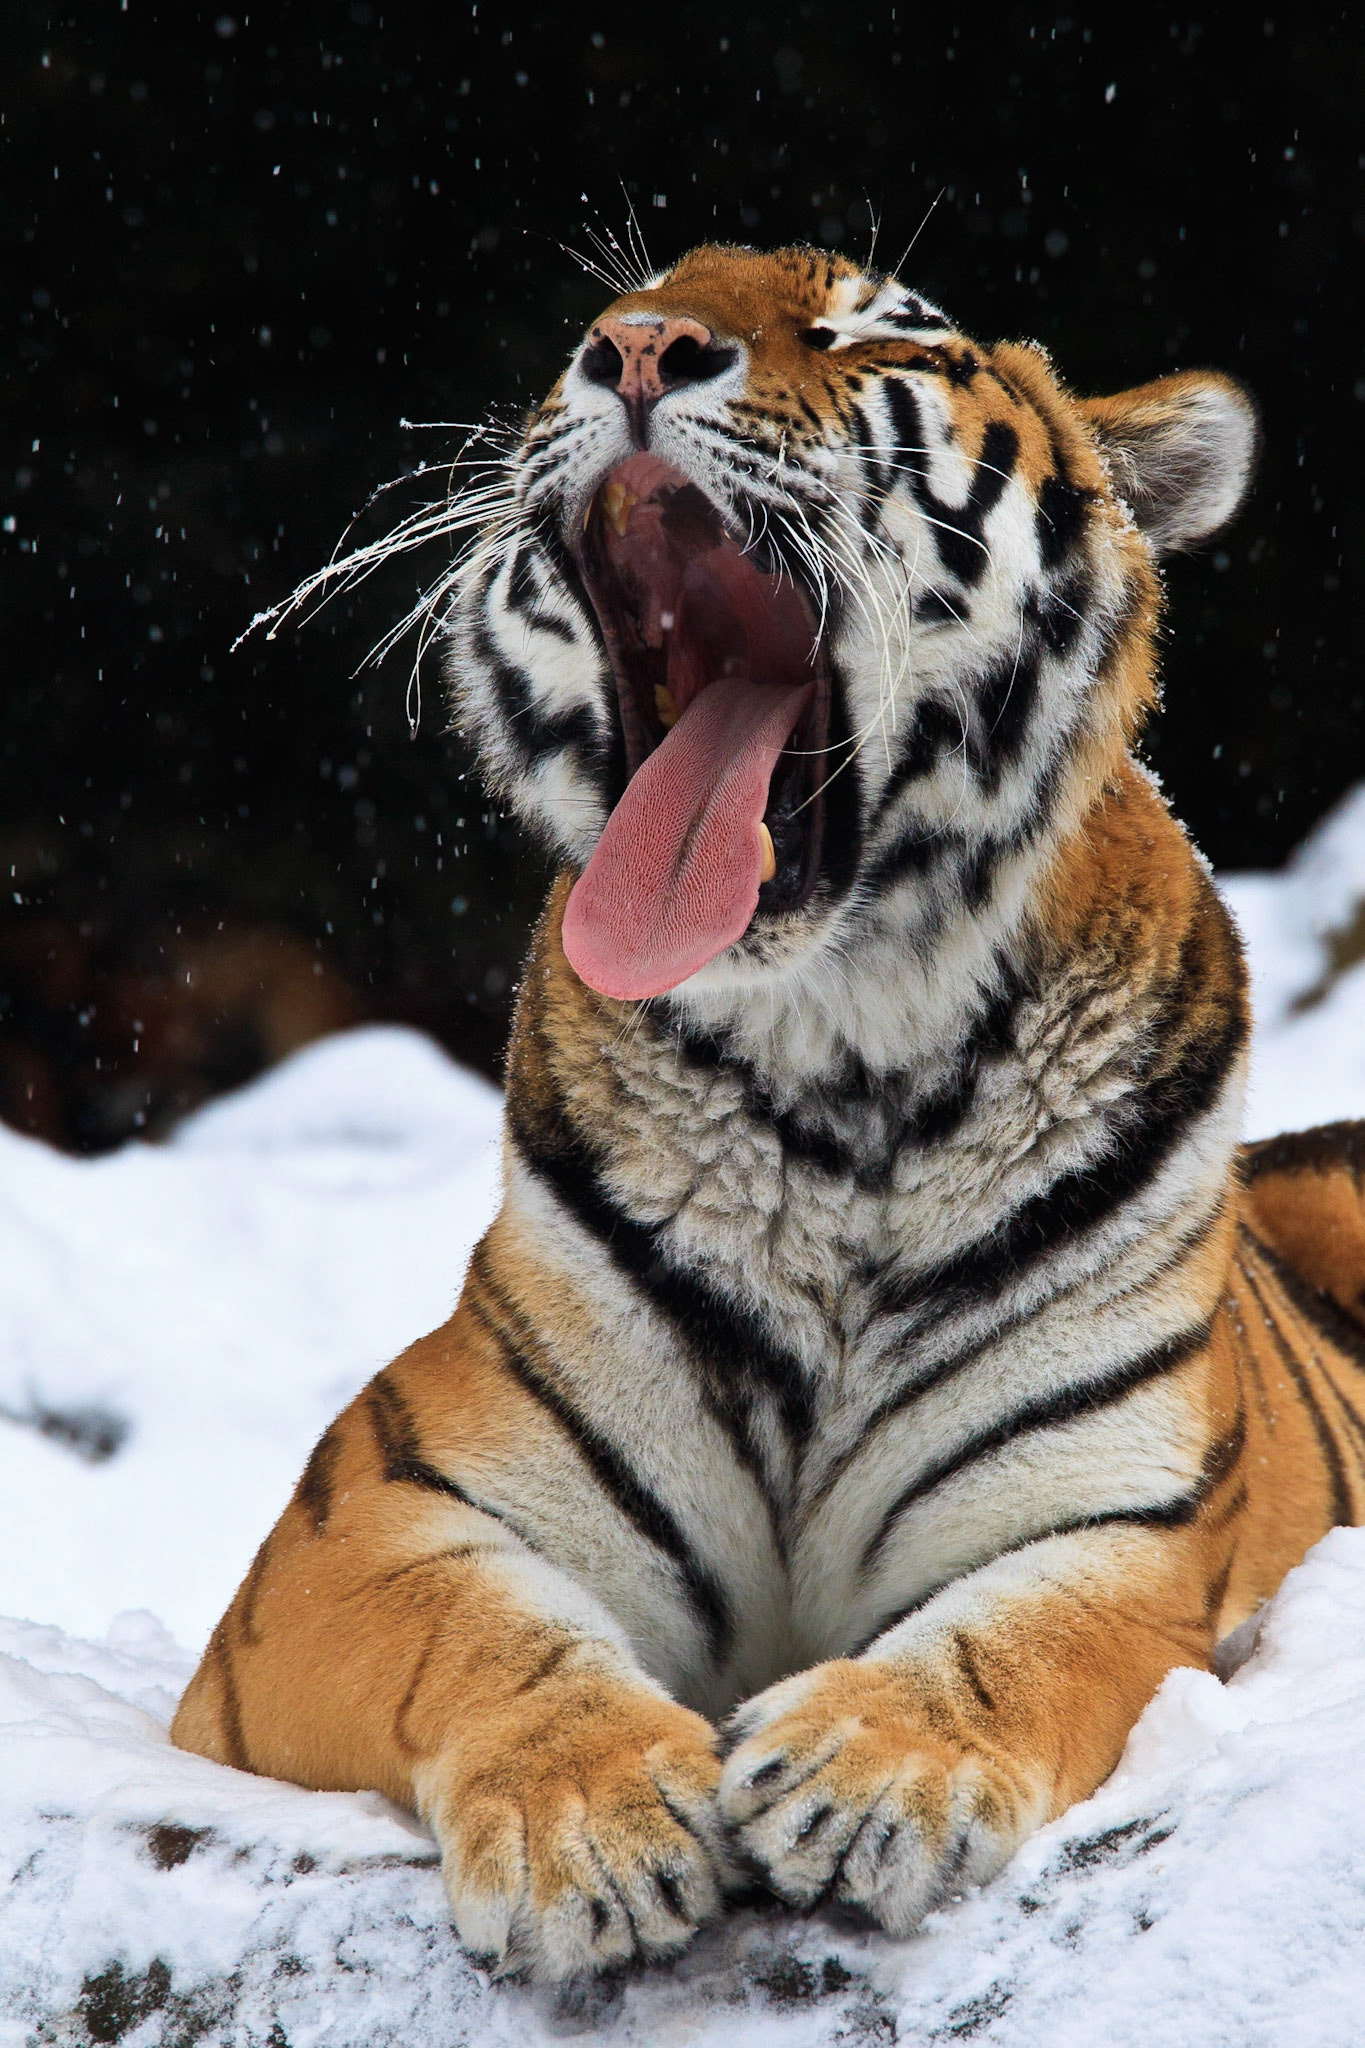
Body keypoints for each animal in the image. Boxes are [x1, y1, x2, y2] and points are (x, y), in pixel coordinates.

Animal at [172, 243, 1365, 1988]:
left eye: (871, 328)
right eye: (619, 301)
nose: (634, 348)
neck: (838, 1079)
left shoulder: (1127, 1523)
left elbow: (1021, 1640)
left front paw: (867, 1772)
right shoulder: (360, 1525)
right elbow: (480, 1634)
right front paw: (591, 1817)